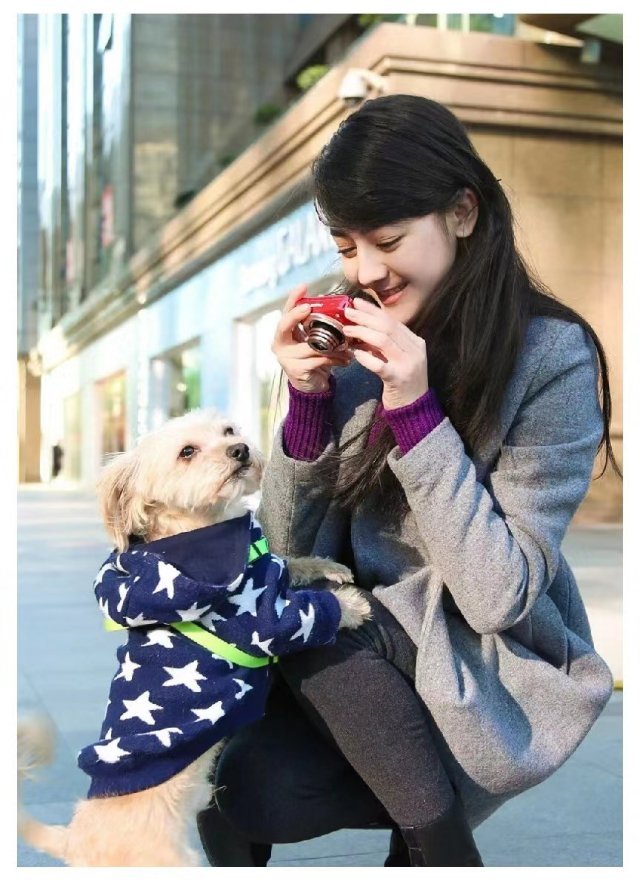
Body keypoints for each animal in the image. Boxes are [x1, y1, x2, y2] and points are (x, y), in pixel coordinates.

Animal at [17, 412, 370, 872]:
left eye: (229, 431)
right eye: (187, 452)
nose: (240, 449)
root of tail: (73, 839)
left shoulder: (266, 567)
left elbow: (287, 562)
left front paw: (327, 566)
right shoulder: (259, 621)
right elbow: (300, 615)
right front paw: (350, 605)